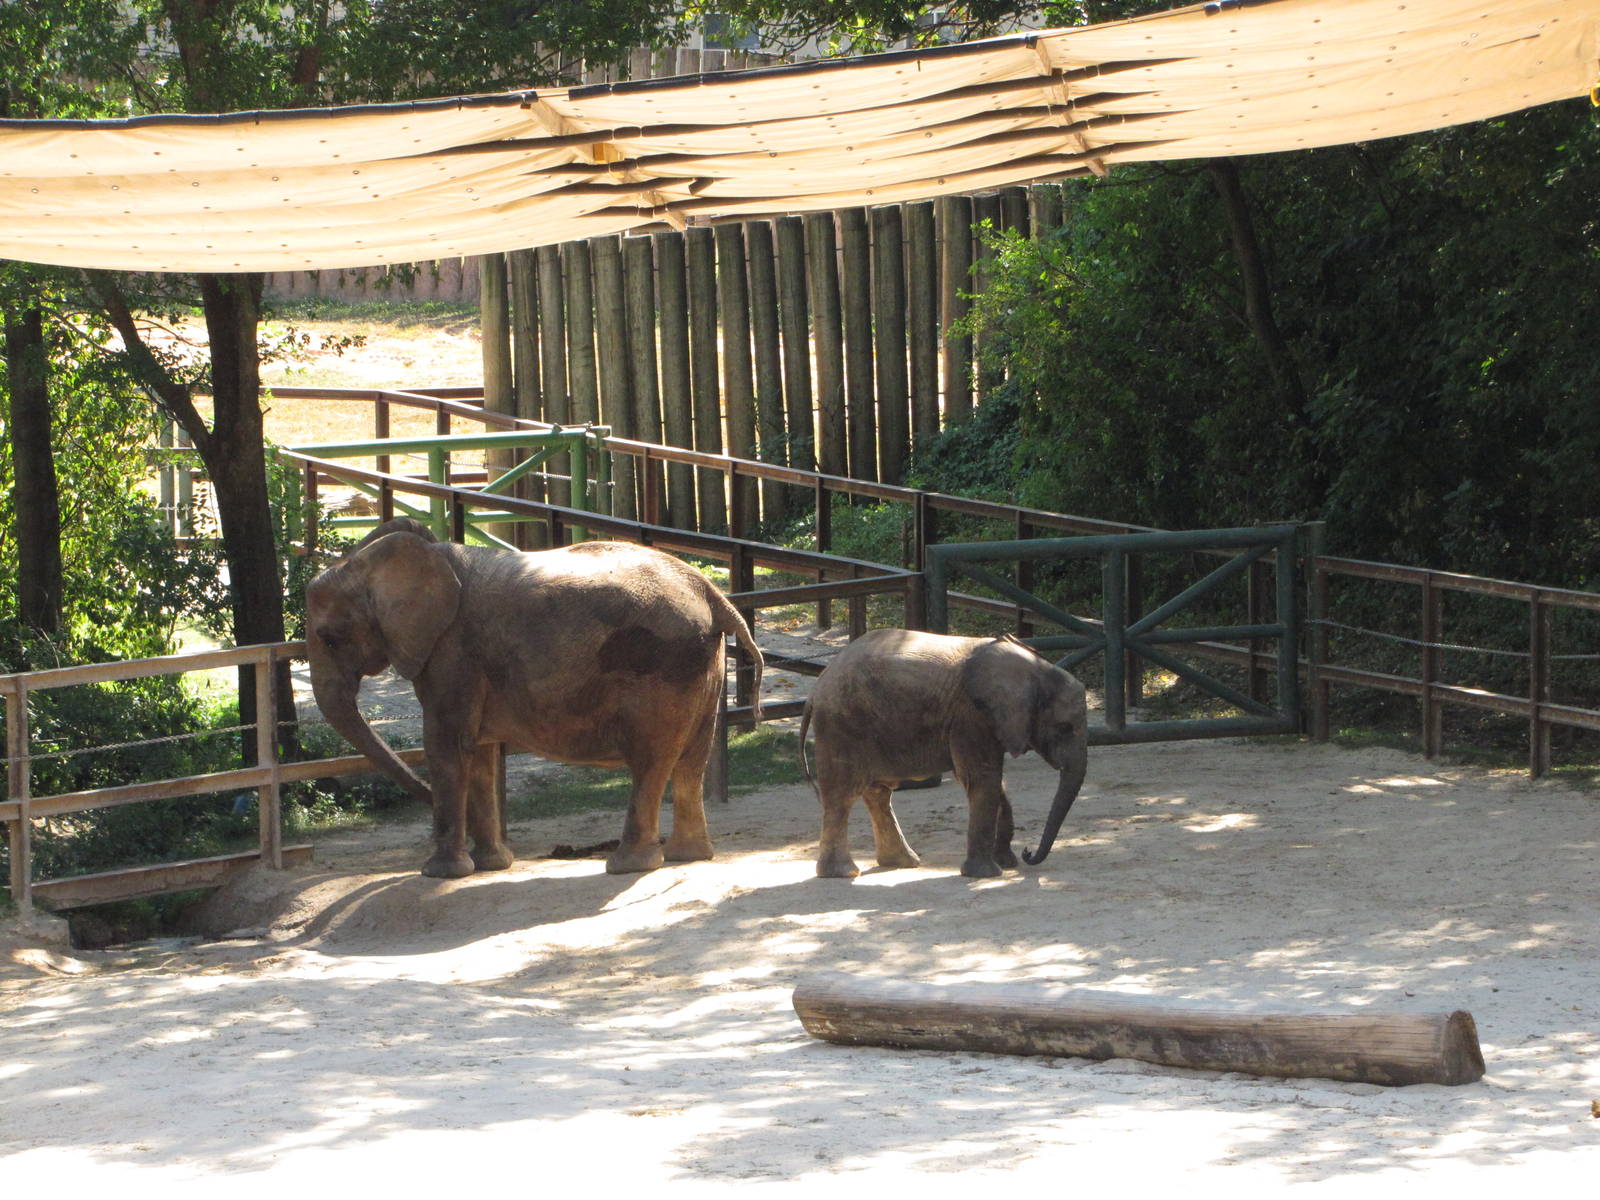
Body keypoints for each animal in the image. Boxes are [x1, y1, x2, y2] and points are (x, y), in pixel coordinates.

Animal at [305, 518, 762, 878]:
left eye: (329, 638)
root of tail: (711, 592)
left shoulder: (452, 651)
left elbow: (446, 745)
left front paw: (441, 874)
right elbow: (481, 753)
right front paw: (492, 865)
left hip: (661, 665)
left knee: (651, 760)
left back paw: (628, 865)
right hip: (701, 663)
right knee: (691, 759)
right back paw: (688, 856)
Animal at [798, 628, 1087, 879]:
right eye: (1065, 728)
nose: (1029, 852)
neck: (1034, 669)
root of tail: (815, 689)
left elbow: (995, 783)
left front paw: (1007, 863)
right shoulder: (970, 716)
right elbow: (981, 778)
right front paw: (987, 874)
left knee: (877, 793)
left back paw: (903, 862)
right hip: (841, 726)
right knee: (843, 795)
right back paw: (844, 873)